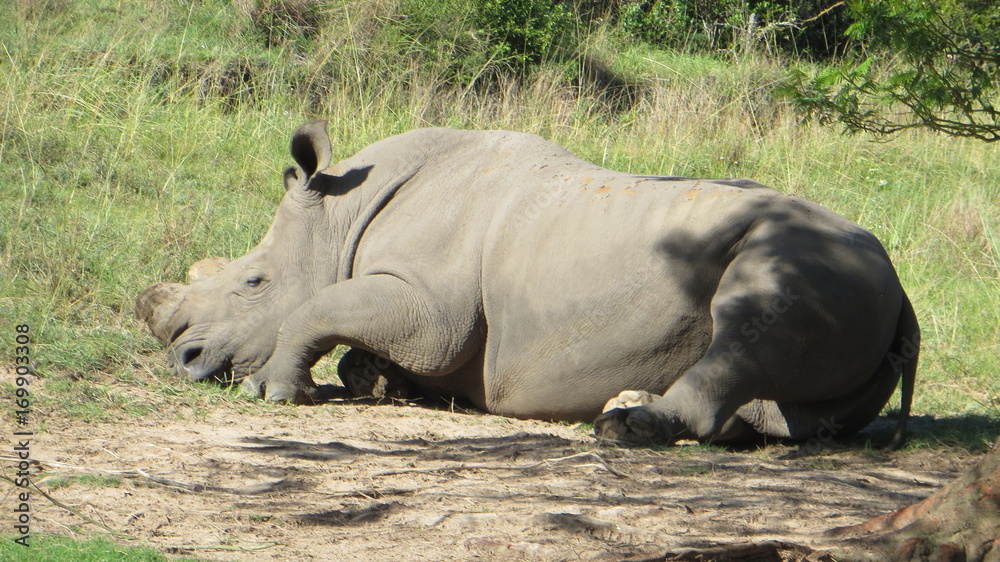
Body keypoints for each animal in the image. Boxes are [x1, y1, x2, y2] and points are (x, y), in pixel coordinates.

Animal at [136, 120, 918, 447]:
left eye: (254, 281)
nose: (183, 360)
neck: (340, 215)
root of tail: (901, 288)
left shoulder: (430, 307)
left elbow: (325, 305)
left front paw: (271, 390)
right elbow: (362, 341)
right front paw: (382, 382)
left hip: (813, 263)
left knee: (749, 321)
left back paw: (623, 427)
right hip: (851, 283)